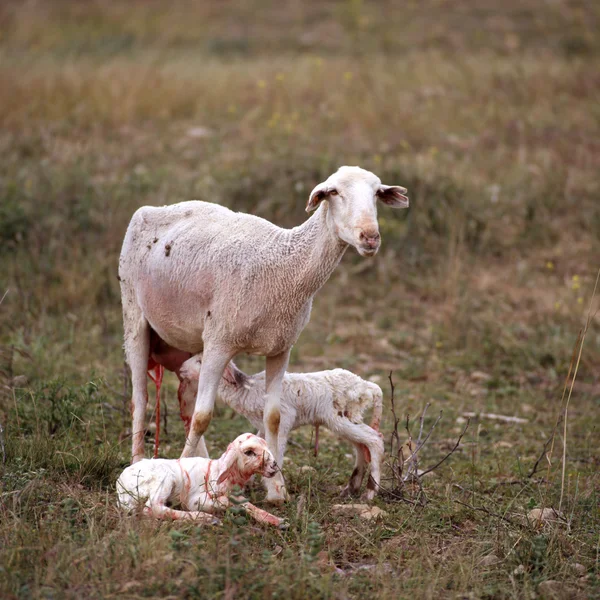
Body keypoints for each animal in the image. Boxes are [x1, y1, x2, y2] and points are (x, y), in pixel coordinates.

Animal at [118, 434, 288, 528]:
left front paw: (278, 522)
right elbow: (232, 502)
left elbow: (245, 503)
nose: (274, 465)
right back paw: (208, 519)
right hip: (163, 479)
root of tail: (121, 485)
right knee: (153, 507)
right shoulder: (195, 499)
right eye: (249, 452)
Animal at [177, 356, 384, 502]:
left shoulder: (283, 419)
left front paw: (275, 491)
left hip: (339, 416)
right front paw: (248, 483)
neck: (246, 389)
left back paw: (369, 492)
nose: (181, 369)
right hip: (349, 416)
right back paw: (351, 488)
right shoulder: (261, 426)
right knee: (361, 445)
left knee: (374, 440)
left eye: (200, 361)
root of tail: (367, 386)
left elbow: (277, 450)